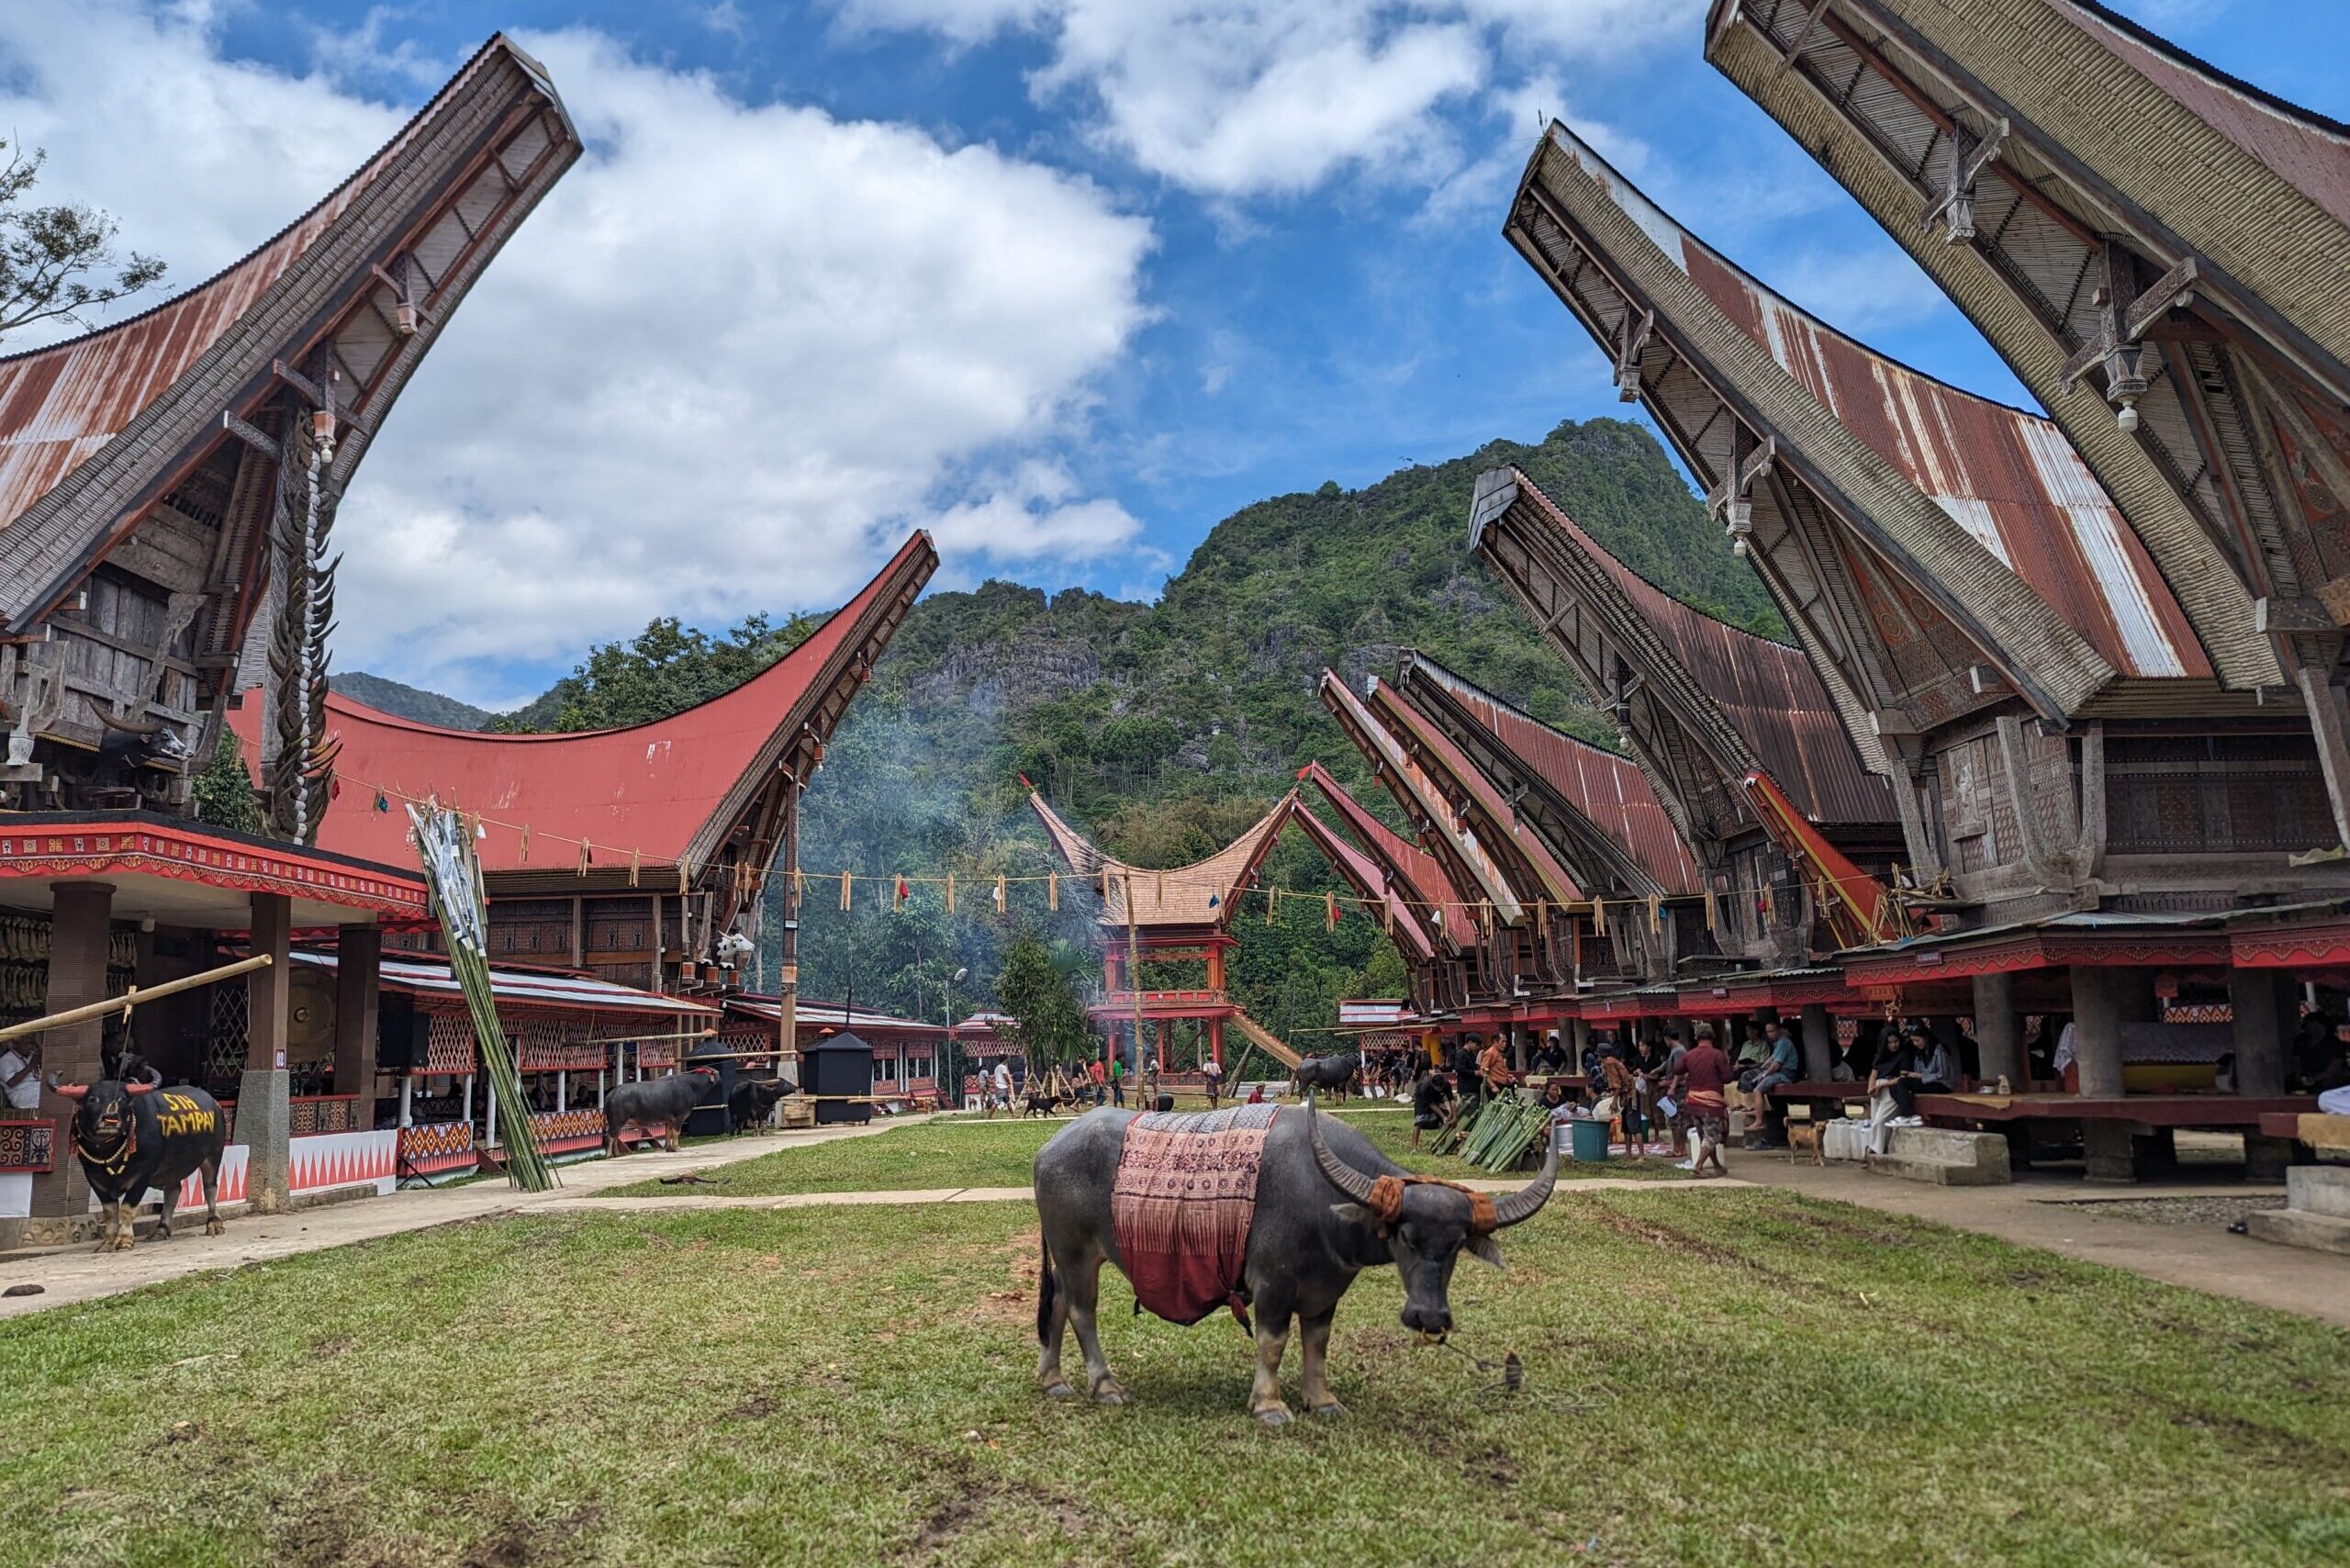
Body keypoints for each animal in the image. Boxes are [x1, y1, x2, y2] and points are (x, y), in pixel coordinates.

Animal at [51, 1067, 229, 1250]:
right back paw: (161, 1229)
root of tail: (215, 1103)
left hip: (213, 1156)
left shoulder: (142, 1176)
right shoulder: (94, 1179)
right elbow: (110, 1212)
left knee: (210, 1188)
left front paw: (124, 1240)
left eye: (122, 1099)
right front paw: (107, 1242)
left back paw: (214, 1224)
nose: (110, 1118)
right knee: (173, 1191)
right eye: (93, 1099)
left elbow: (127, 1208)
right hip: (171, 1167)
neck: (108, 1151)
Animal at [1034, 1104, 1560, 1419]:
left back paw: (1053, 1381)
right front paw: (1269, 1405)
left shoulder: (1325, 1291)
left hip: (1066, 1256)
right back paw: (1105, 1386)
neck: (1323, 1201)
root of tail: (1047, 1150)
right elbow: (1274, 1343)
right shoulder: (1273, 1283)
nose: (1429, 1316)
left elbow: (1317, 1345)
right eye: (1406, 1237)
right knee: (1082, 1311)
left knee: (1056, 1303)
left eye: (1454, 1245)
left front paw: (1322, 1401)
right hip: (1078, 1252)